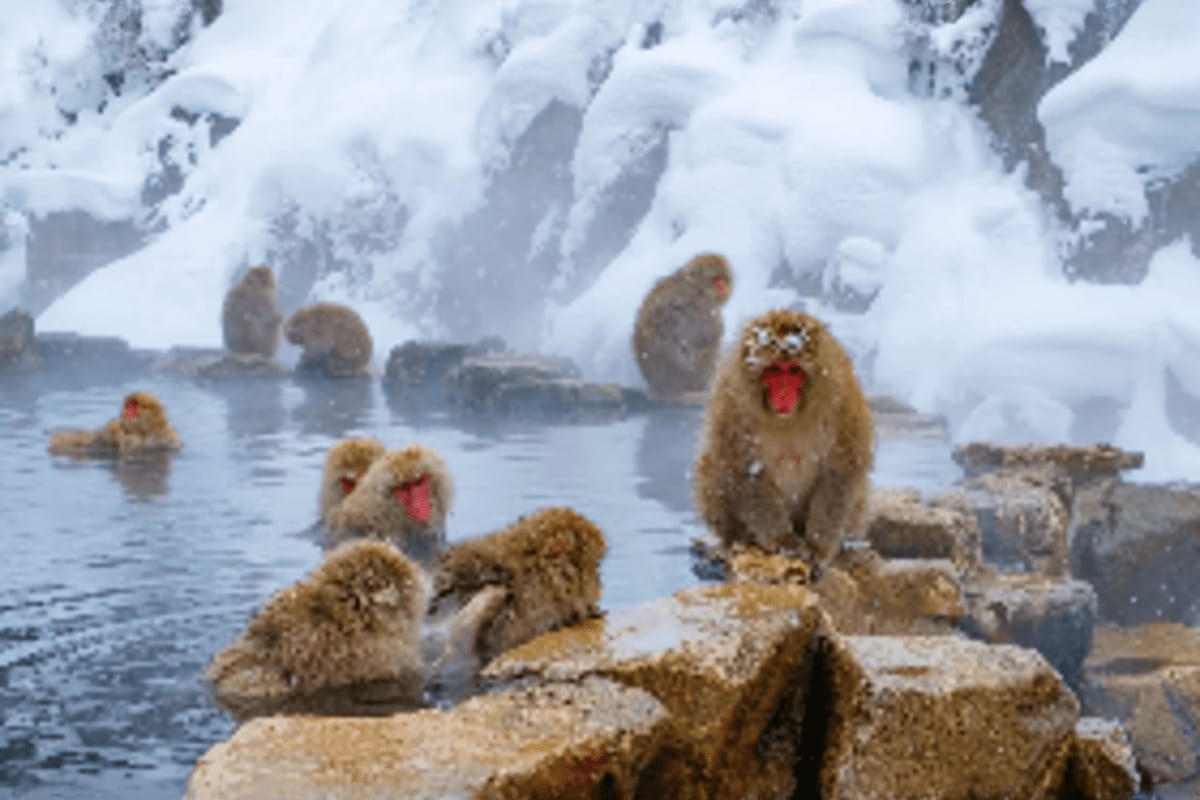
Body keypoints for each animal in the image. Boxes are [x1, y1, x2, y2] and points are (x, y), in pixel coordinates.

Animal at [632, 252, 733, 400]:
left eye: (724, 281)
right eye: (717, 281)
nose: (724, 289)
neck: (695, 285)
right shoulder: (705, 308)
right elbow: (710, 334)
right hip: (694, 374)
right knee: (713, 345)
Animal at [693, 309, 874, 577]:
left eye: (793, 371)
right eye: (775, 371)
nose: (784, 393)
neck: (791, 416)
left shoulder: (842, 401)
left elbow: (841, 471)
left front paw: (818, 547)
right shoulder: (731, 403)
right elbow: (745, 471)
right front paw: (784, 542)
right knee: (712, 466)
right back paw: (736, 540)